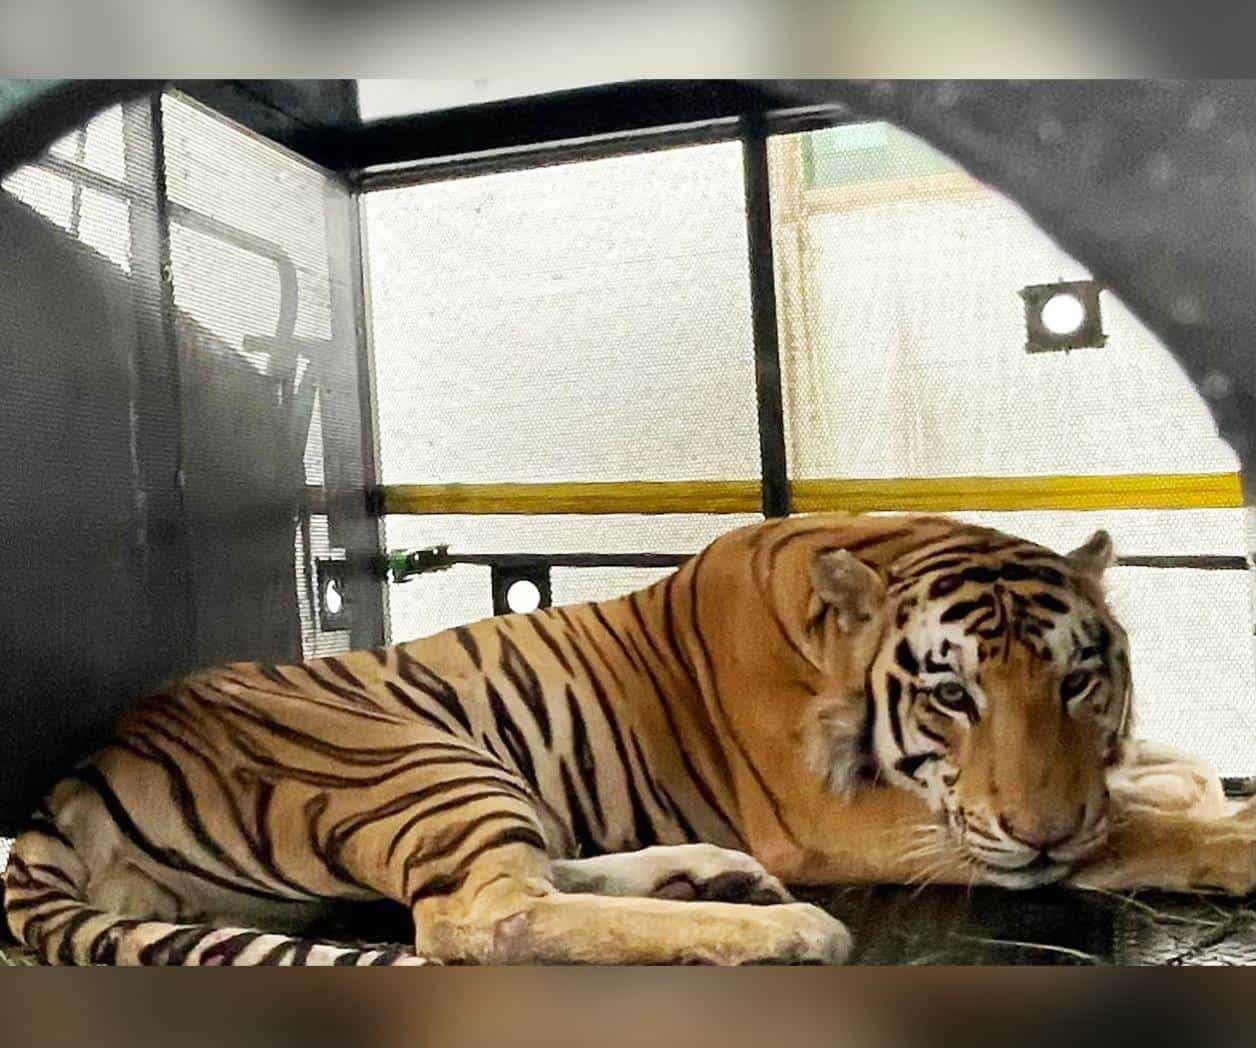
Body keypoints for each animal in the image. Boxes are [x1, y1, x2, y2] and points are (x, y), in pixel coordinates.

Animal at [5, 512, 1254, 965]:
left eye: (1078, 678)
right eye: (950, 696)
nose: (1040, 829)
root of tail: (79, 773)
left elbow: (1159, 776)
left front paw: (1182, 786)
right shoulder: (859, 820)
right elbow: (1137, 833)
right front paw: (1215, 836)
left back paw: (710, 878)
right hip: (418, 758)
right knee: (475, 919)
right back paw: (778, 931)